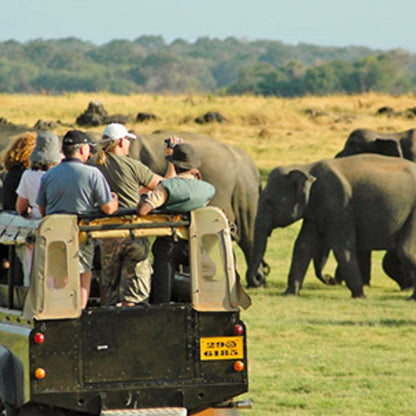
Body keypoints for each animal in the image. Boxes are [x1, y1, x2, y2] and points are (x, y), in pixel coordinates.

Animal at [247, 154, 416, 300]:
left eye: (269, 202)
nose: (259, 276)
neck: (306, 168)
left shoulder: (337, 204)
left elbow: (343, 247)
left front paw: (360, 296)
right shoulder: (315, 211)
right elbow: (302, 246)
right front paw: (289, 294)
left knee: (405, 251)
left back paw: (410, 299)